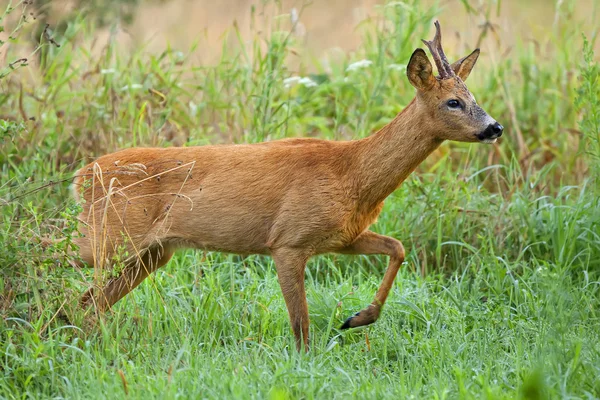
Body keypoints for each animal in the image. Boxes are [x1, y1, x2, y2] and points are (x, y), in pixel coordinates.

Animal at [68, 23, 502, 352]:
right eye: (453, 102)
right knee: (62, 260)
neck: (353, 174)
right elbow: (301, 324)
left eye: (473, 96)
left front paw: (357, 318)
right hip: (108, 236)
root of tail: (82, 175)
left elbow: (397, 247)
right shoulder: (288, 240)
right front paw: (308, 363)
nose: (494, 128)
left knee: (88, 302)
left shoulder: (340, 236)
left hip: (151, 253)